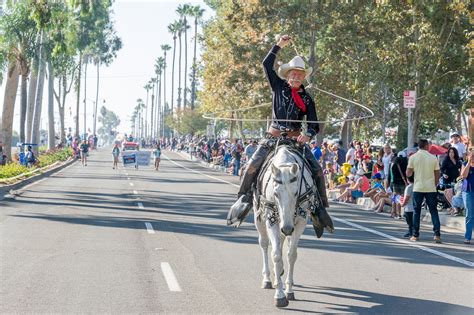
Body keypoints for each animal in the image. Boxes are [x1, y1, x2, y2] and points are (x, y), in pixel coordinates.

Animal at [254, 146, 316, 308]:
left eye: (295, 193)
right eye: (275, 193)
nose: (287, 228)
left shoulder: (300, 222)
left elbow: (291, 254)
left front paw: (289, 290)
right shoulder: (272, 220)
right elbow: (275, 254)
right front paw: (280, 295)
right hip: (260, 219)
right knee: (264, 244)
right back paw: (268, 279)